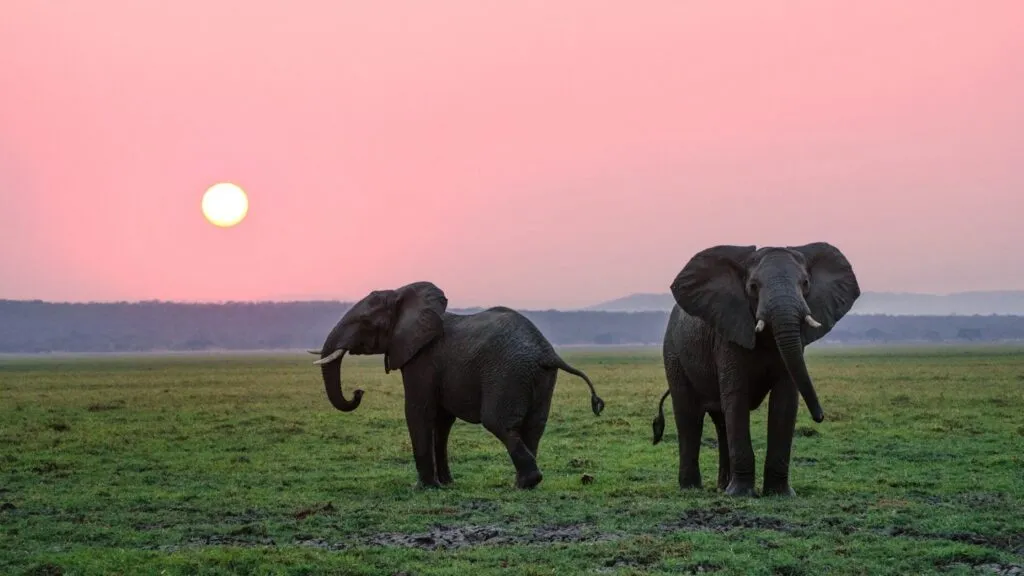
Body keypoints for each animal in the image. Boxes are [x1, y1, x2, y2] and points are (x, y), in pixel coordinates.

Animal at [308, 281, 605, 490]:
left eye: (364, 322)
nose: (358, 392)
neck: (403, 295)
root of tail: (547, 352)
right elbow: (442, 422)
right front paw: (447, 484)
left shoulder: (422, 359)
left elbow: (418, 412)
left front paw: (424, 487)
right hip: (540, 377)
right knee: (534, 426)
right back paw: (523, 483)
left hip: (508, 373)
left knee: (498, 422)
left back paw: (525, 483)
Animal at [651, 243, 860, 497]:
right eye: (753, 287)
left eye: (805, 283)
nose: (820, 417)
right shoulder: (728, 335)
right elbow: (737, 398)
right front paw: (741, 494)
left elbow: (785, 401)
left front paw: (779, 494)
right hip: (673, 353)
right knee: (689, 415)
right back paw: (692, 488)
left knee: (721, 421)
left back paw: (722, 487)